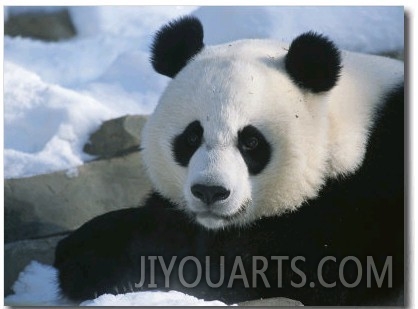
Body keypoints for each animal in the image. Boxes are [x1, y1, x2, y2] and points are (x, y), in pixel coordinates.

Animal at [54, 15, 404, 304]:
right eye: (192, 137)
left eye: (251, 141)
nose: (210, 192)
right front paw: (90, 253)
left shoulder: (363, 205)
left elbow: (278, 265)